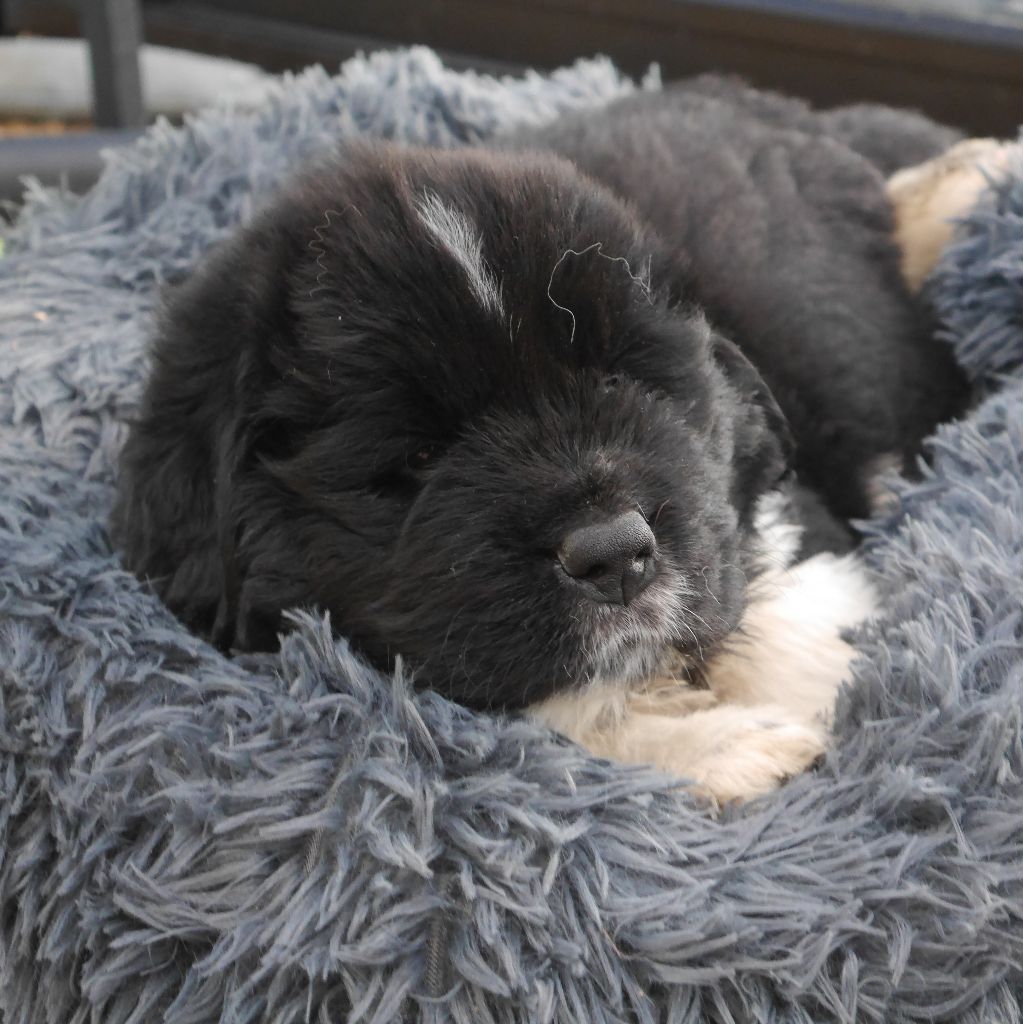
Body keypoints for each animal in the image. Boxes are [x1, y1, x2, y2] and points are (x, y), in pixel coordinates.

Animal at [113, 77, 995, 803]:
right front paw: (733, 748)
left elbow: (773, 618)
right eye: (419, 458)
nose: (613, 553)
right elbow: (551, 705)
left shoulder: (775, 524)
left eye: (621, 384)